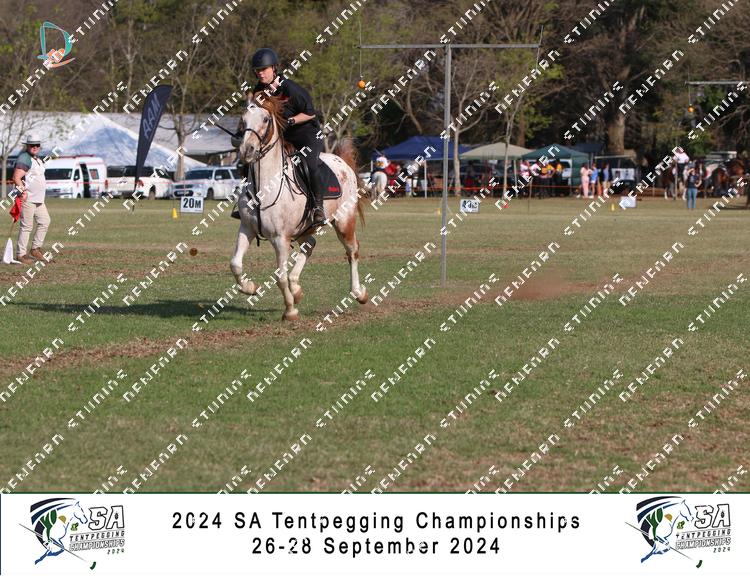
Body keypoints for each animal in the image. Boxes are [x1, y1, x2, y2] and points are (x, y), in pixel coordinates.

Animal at [231, 96, 368, 321]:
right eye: (243, 119)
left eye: (266, 119)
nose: (247, 150)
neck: (264, 186)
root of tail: (341, 161)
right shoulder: (247, 228)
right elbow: (235, 264)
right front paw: (250, 287)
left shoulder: (280, 238)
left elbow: (280, 277)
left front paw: (290, 310)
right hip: (306, 227)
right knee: (310, 245)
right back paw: (296, 288)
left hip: (344, 222)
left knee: (352, 251)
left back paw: (359, 293)